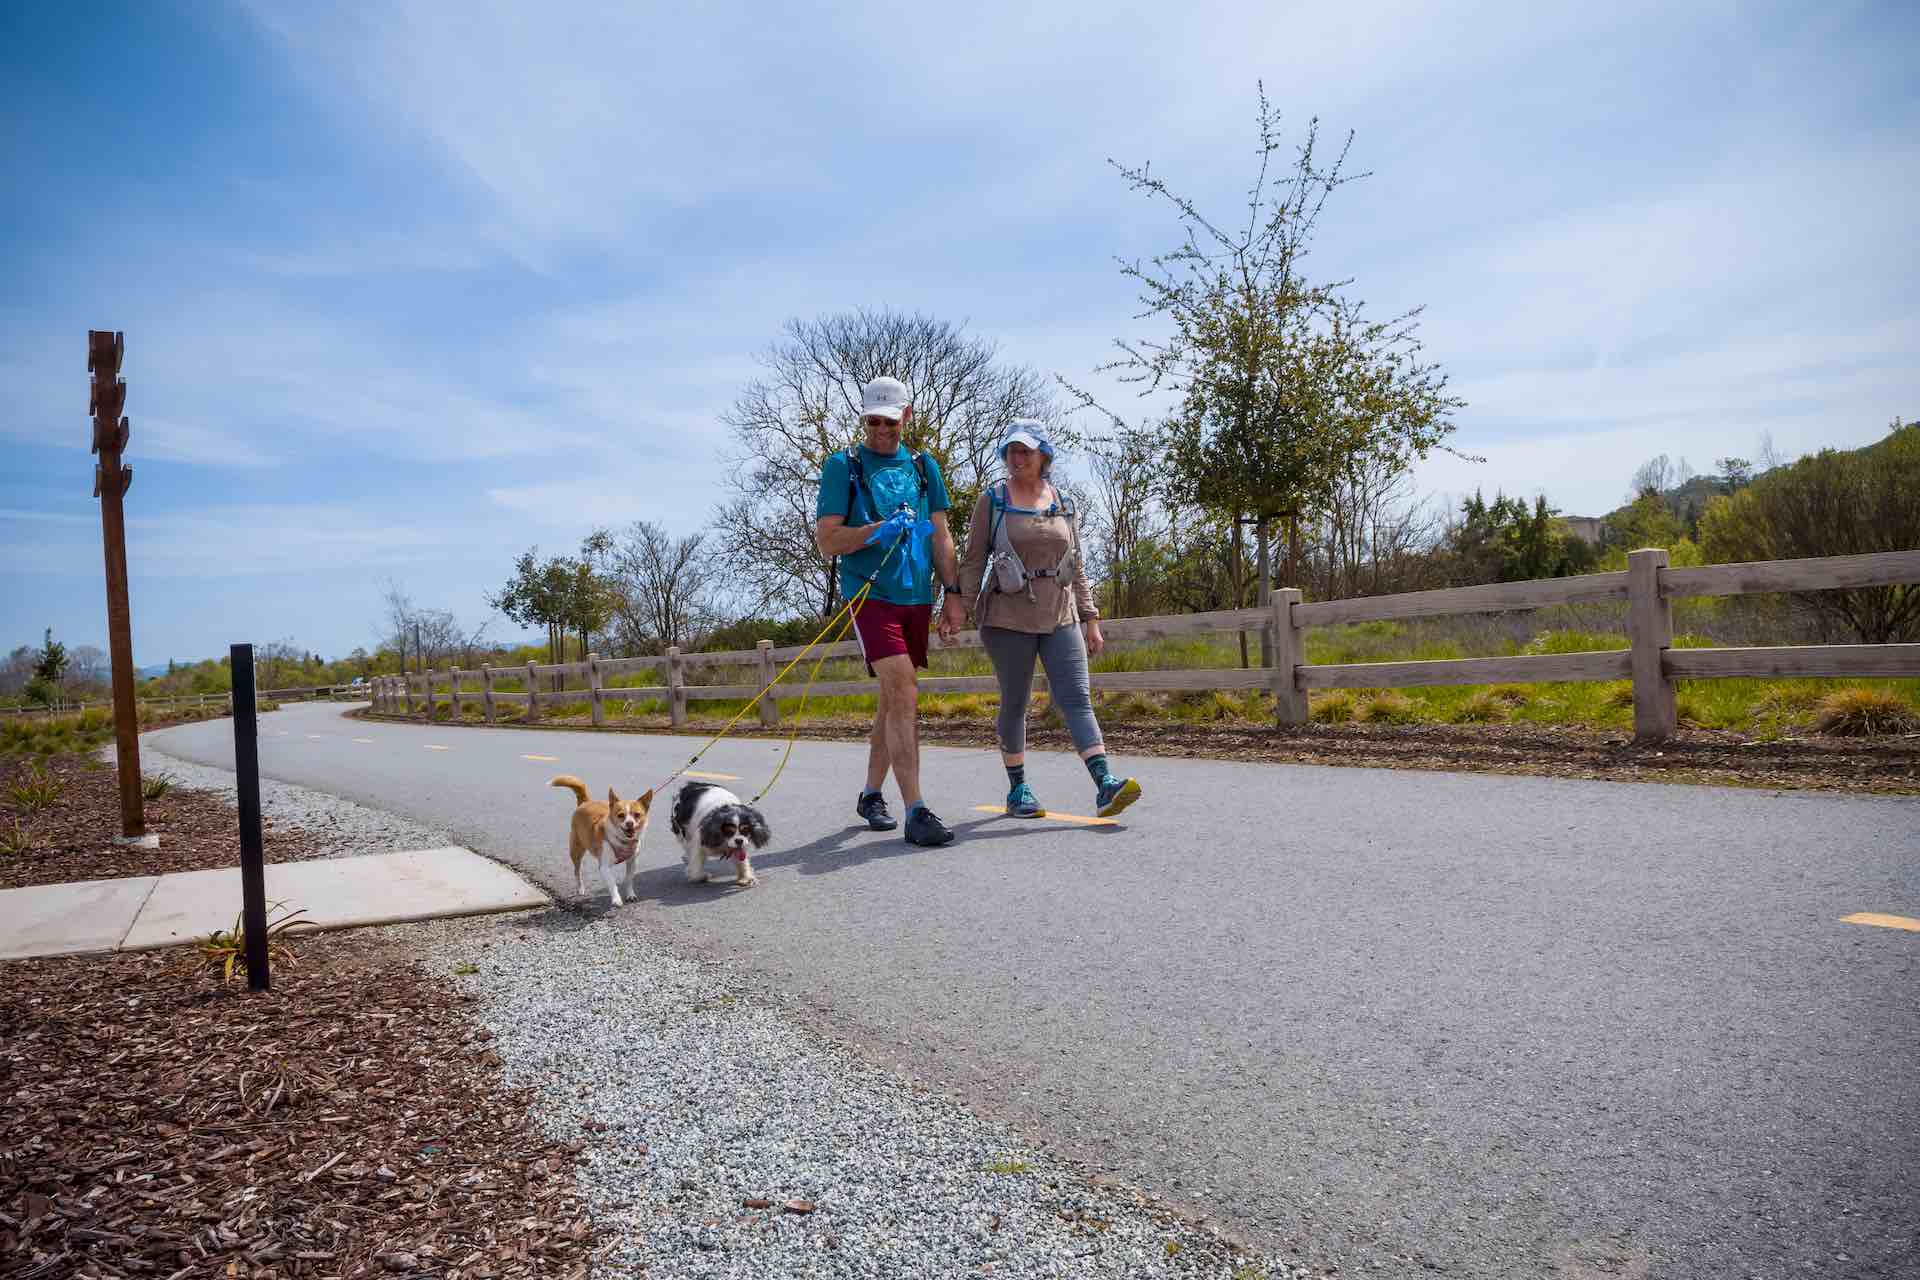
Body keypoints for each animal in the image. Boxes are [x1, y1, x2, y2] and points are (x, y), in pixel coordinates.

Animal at [549, 775, 652, 905]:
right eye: (621, 815)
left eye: (637, 815)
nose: (629, 823)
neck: (622, 841)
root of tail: (586, 801)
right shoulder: (604, 867)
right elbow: (612, 883)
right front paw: (616, 899)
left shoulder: (632, 862)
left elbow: (628, 879)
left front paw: (630, 895)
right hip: (576, 850)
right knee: (577, 871)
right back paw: (580, 888)